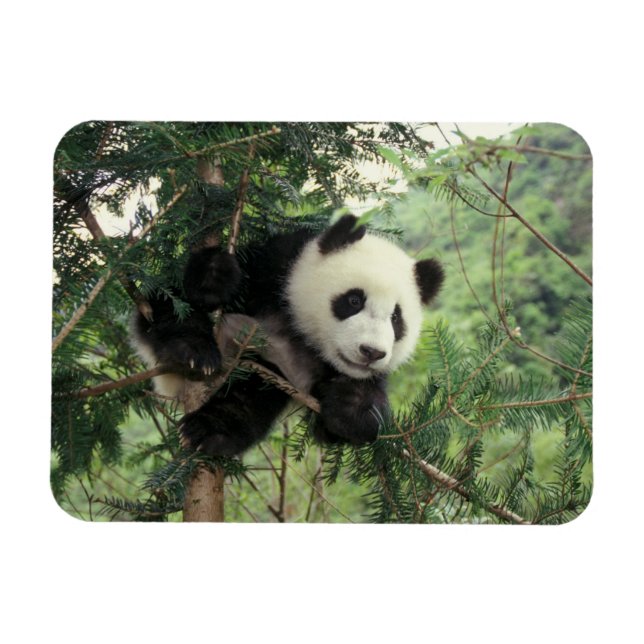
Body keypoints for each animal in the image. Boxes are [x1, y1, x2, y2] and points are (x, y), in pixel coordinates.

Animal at [132, 214, 444, 456]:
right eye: (354, 300)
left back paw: (211, 430)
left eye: (396, 319)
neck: (301, 332)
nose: (371, 352)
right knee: (168, 306)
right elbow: (182, 294)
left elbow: (344, 424)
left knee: (253, 392)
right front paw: (214, 279)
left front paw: (350, 404)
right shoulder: (275, 268)